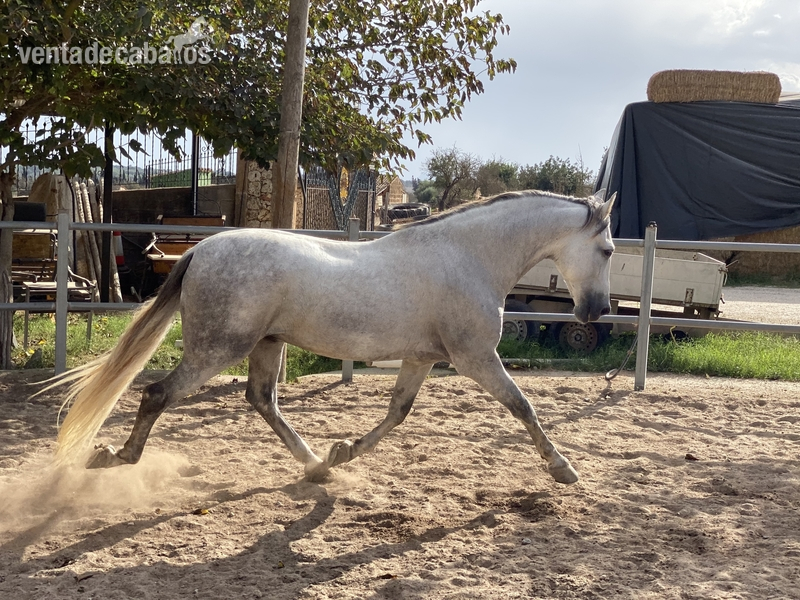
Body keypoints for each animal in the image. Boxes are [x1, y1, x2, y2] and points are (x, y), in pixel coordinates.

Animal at [51, 189, 616, 485]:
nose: (596, 312)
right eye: (609, 249)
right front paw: (563, 468)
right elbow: (523, 406)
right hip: (219, 348)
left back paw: (316, 466)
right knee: (156, 394)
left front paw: (343, 450)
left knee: (262, 400)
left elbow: (396, 413)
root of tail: (200, 250)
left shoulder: (421, 359)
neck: (468, 256)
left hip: (266, 344)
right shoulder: (475, 357)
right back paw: (114, 457)